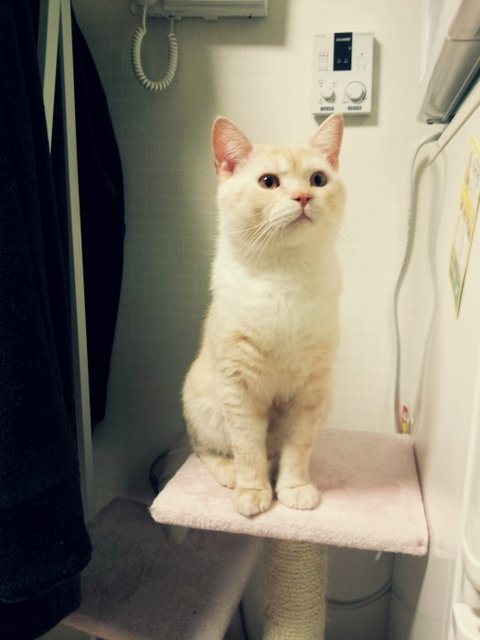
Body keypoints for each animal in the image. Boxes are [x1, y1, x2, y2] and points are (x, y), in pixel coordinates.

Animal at [182, 113, 345, 517]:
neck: (284, 276)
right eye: (268, 182)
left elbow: (297, 448)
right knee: (204, 449)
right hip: (202, 403)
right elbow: (247, 449)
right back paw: (229, 473)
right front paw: (253, 491)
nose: (303, 197)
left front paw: (294, 488)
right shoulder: (238, 387)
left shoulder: (312, 392)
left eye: (318, 179)